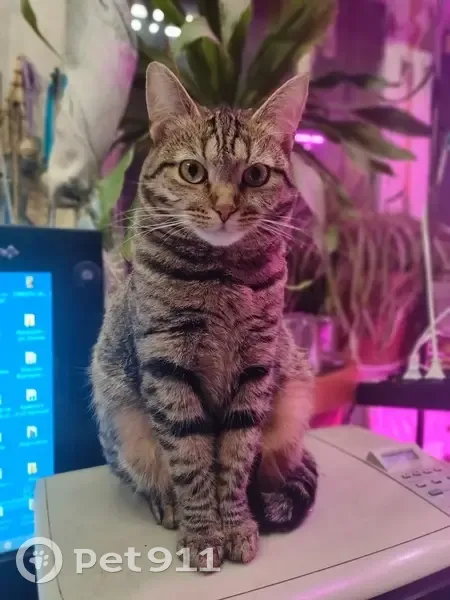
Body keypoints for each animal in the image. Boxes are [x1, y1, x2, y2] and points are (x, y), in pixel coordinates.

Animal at [90, 62, 318, 572]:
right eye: (192, 171)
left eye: (256, 174)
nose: (225, 207)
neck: (221, 276)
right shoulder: (167, 366)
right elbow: (191, 459)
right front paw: (203, 533)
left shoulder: (256, 368)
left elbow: (234, 457)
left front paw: (234, 524)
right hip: (120, 416)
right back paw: (167, 503)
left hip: (292, 399)